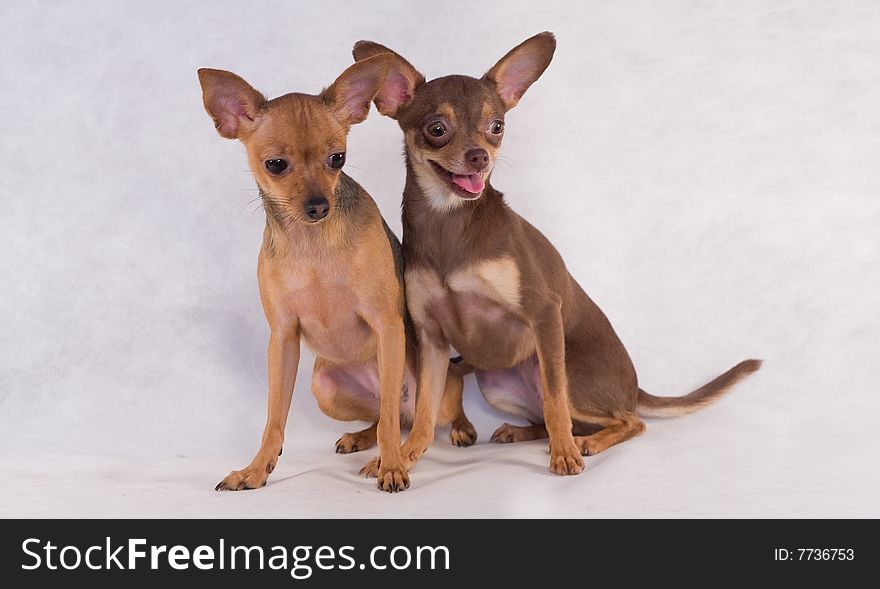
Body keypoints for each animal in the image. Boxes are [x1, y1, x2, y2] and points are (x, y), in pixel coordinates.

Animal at [198, 57, 474, 494]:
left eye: (337, 159)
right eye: (276, 165)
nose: (318, 206)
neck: (313, 245)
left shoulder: (387, 325)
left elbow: (390, 425)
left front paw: (392, 467)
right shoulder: (283, 338)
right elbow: (274, 419)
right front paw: (256, 470)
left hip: (432, 390)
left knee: (418, 412)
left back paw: (456, 428)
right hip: (324, 388)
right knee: (383, 415)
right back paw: (360, 436)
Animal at [354, 32, 760, 476]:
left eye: (496, 127)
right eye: (437, 129)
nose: (480, 156)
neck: (449, 221)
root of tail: (635, 387)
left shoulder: (545, 312)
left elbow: (553, 400)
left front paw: (564, 454)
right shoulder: (432, 339)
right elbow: (426, 410)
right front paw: (404, 455)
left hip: (570, 374)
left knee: (624, 419)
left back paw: (586, 442)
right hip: (497, 385)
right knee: (549, 418)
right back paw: (521, 432)